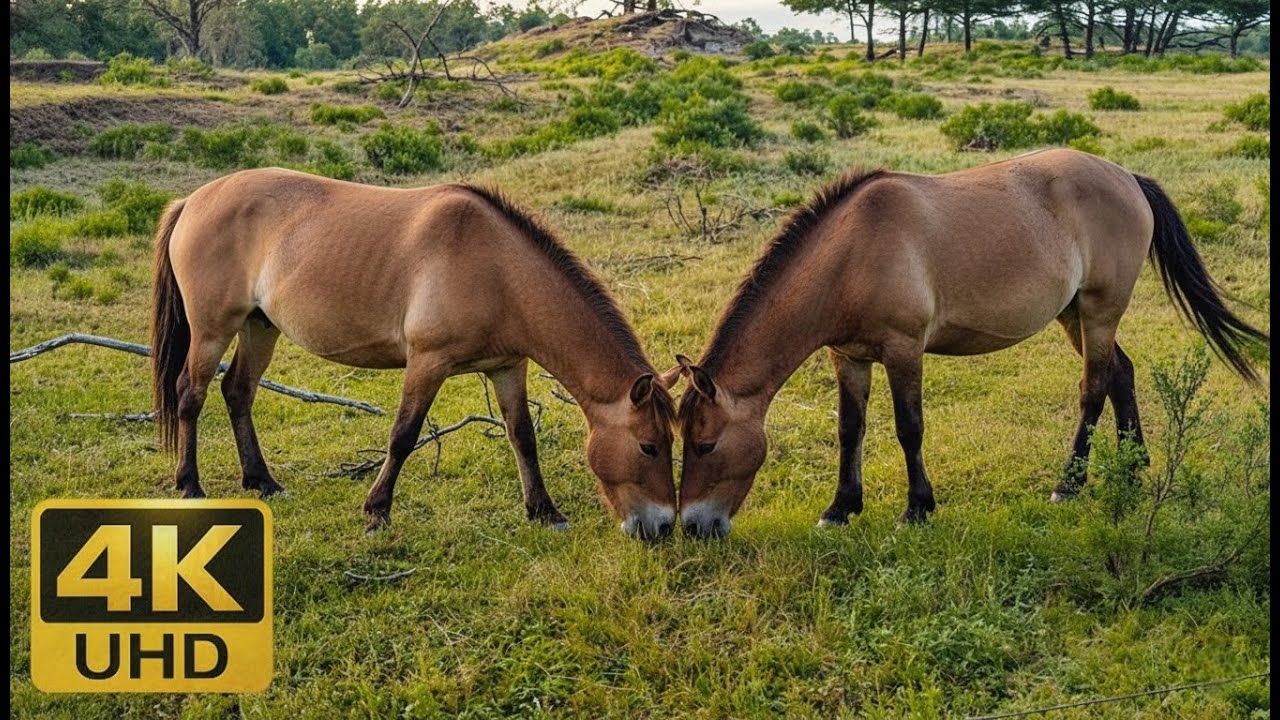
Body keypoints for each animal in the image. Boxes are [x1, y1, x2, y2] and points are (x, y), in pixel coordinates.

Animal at [150, 168, 677, 539]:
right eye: (648, 446)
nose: (663, 526)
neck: (497, 270)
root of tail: (191, 201)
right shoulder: (427, 362)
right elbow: (403, 435)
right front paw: (376, 512)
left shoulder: (508, 367)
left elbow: (522, 436)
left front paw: (544, 511)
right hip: (212, 331)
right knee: (190, 395)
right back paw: (190, 486)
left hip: (260, 328)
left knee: (237, 392)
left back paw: (262, 482)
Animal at [672, 149, 1268, 538]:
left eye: (706, 445)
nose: (697, 526)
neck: (852, 254)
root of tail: (1127, 176)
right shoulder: (849, 357)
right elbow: (849, 430)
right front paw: (841, 508)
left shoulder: (904, 351)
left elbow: (908, 428)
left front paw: (918, 509)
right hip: (1074, 314)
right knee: (1122, 372)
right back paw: (1133, 466)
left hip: (1100, 311)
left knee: (1094, 388)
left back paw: (1069, 485)